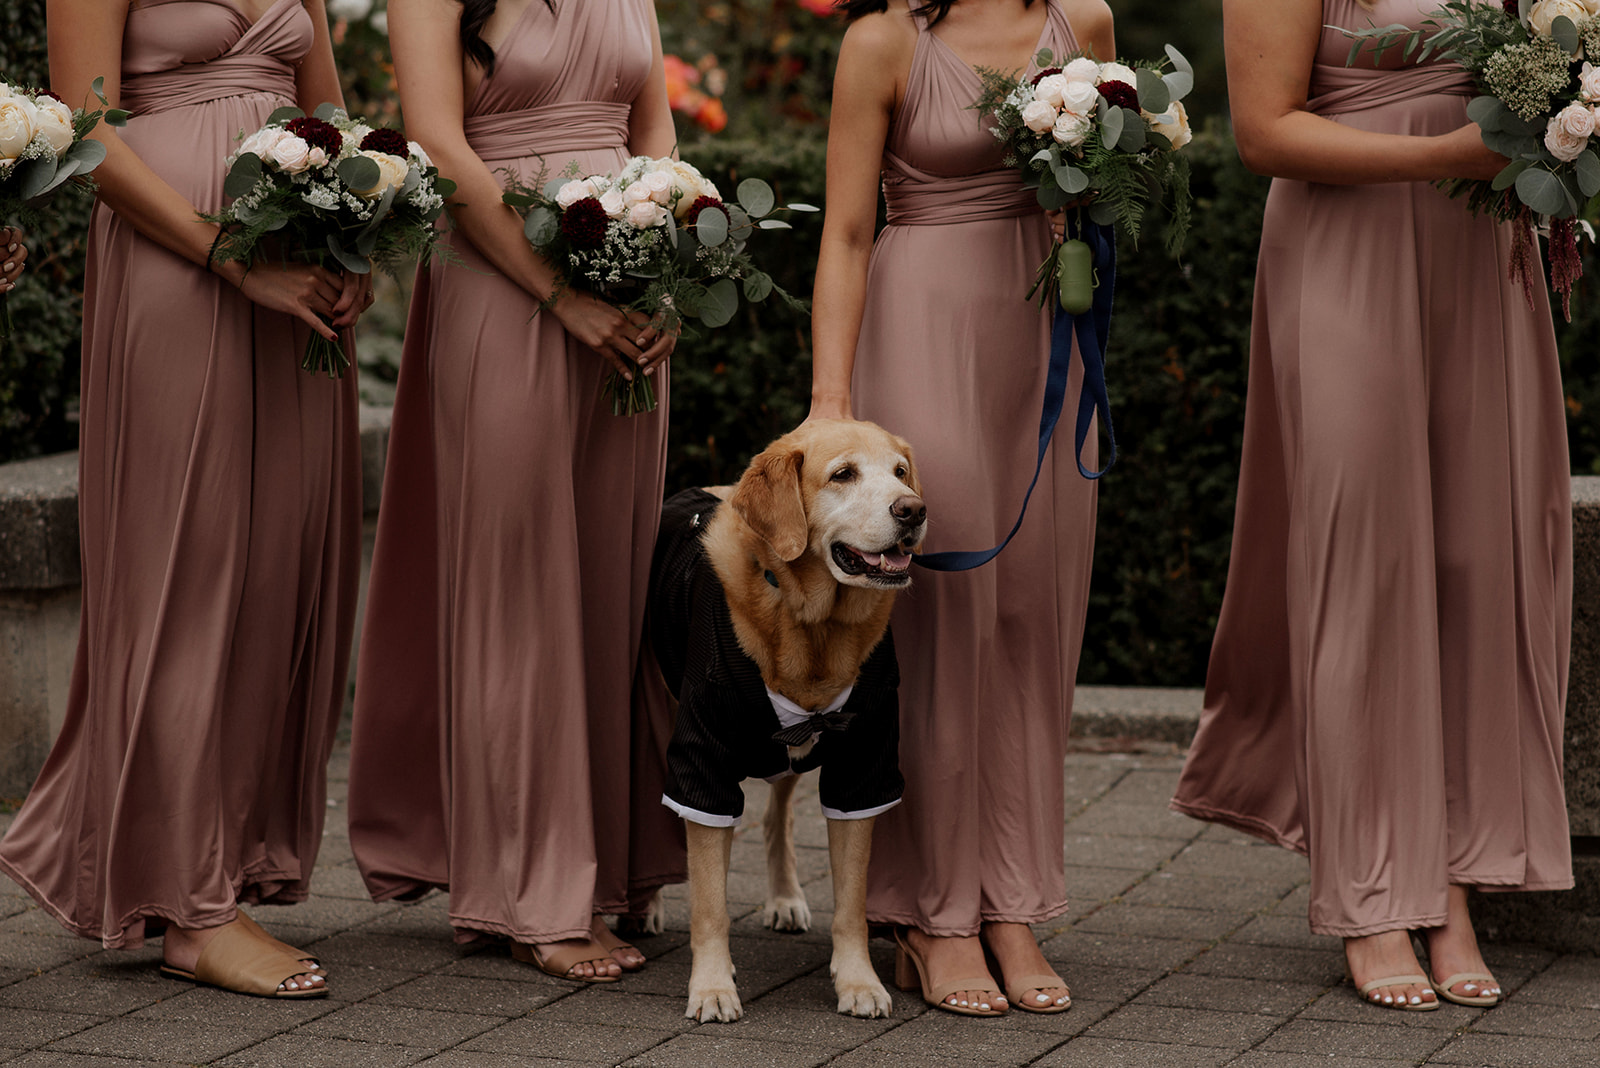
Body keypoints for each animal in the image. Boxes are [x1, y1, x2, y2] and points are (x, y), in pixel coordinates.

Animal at [646, 415, 928, 1016]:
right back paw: (647, 906)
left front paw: (859, 982)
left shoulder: (863, 766)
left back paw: (783, 897)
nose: (913, 510)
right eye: (843, 474)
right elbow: (710, 902)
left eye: (900, 472)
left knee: (777, 814)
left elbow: (851, 905)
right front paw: (712, 987)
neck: (810, 624)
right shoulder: (700, 761)